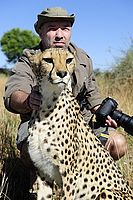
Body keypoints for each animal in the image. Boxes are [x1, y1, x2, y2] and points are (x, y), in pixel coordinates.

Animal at [24, 47, 132, 199]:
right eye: (48, 60)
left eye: (68, 60)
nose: (62, 73)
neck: (47, 103)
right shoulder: (43, 172)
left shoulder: (70, 176)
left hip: (105, 191)